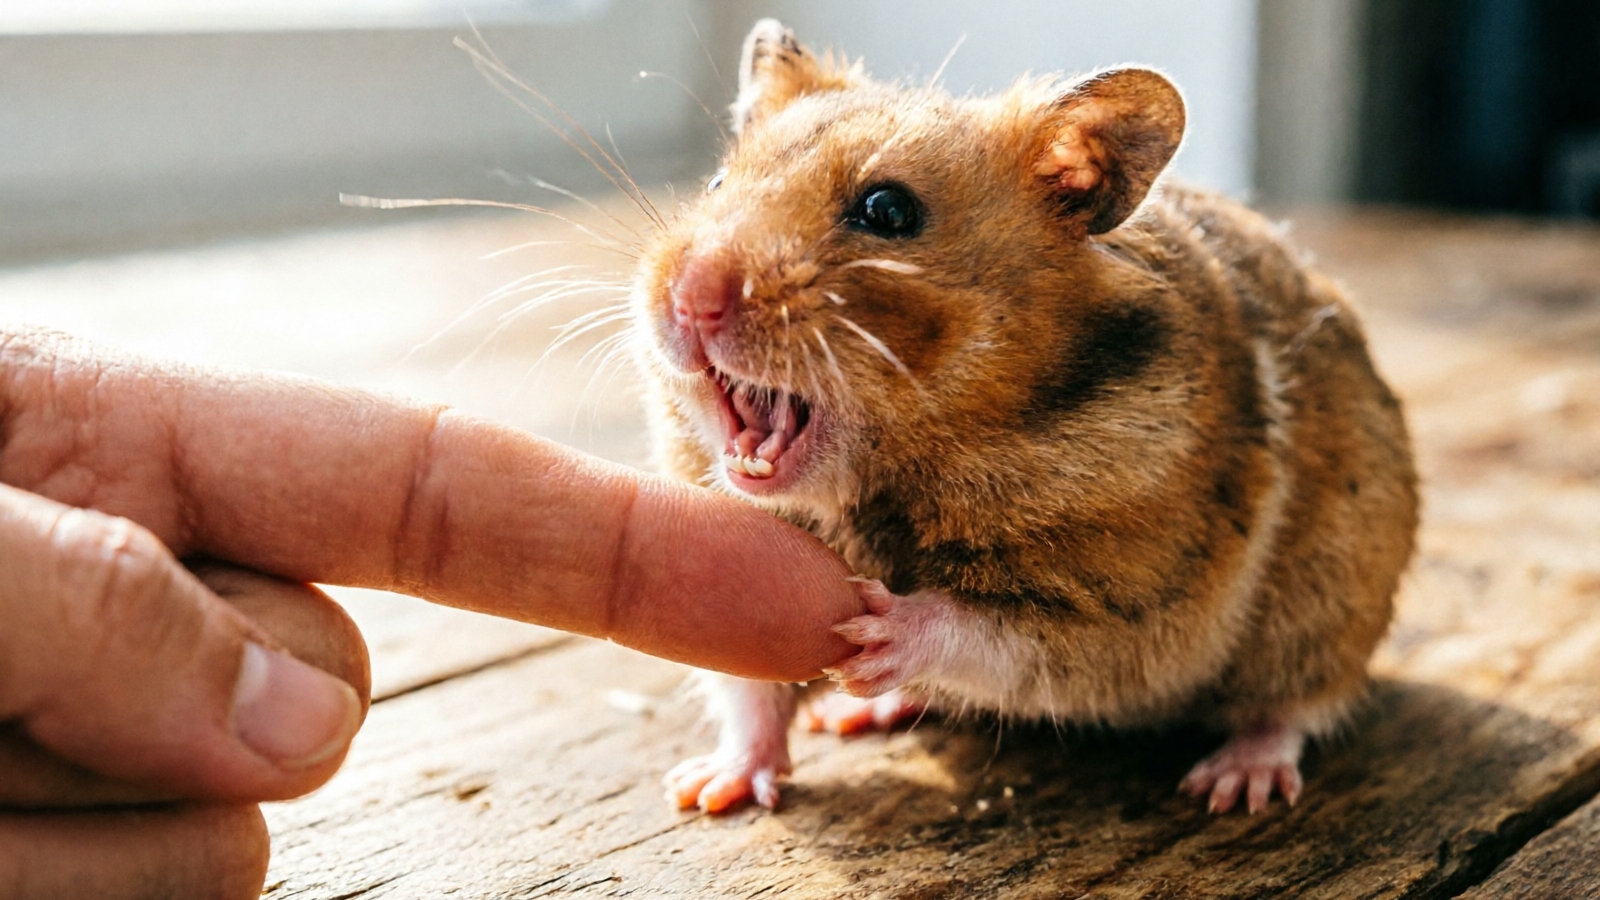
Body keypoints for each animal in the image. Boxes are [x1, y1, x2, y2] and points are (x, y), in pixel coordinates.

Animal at [629, 19, 1418, 816]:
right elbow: (750, 694)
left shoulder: (1131, 607)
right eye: (717, 184)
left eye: (887, 210)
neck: (889, 477)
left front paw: (876, 630)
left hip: (1328, 603)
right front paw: (704, 792)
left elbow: (993, 632)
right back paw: (857, 714)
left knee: (1295, 705)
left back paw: (1233, 785)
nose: (689, 298)